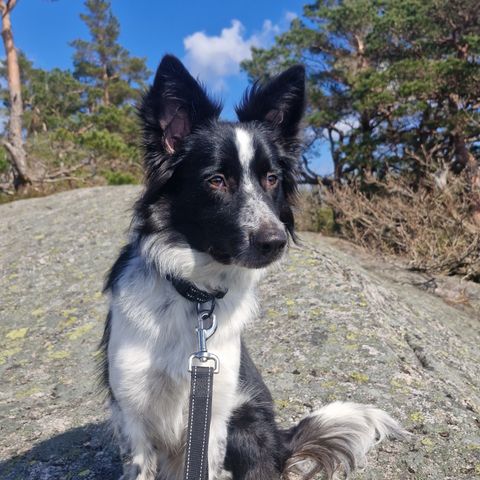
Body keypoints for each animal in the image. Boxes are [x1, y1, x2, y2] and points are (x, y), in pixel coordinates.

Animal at [102, 54, 404, 478]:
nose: (275, 242)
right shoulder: (131, 410)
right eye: (216, 180)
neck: (193, 293)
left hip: (246, 422)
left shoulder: (214, 412)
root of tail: (280, 440)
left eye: (272, 178)